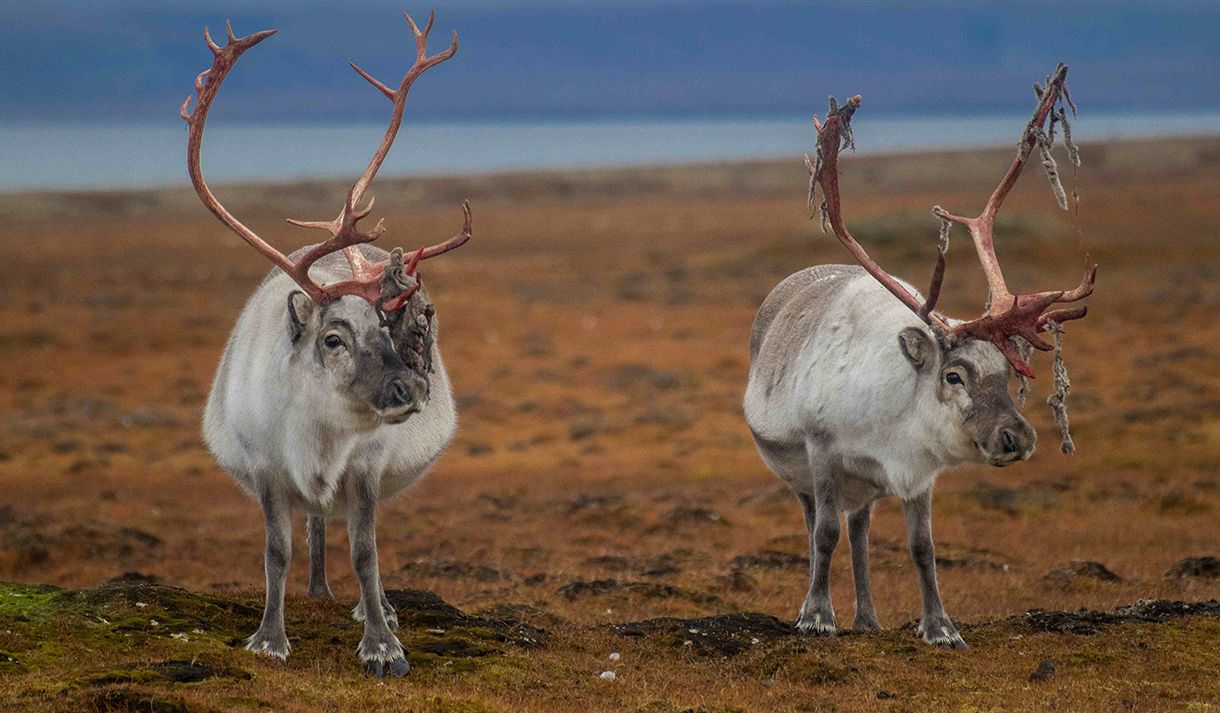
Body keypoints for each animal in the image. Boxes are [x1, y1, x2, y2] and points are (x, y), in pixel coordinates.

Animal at [182, 11, 471, 677]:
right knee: (313, 529)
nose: (411, 387)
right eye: (333, 337)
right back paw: (317, 591)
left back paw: (375, 607)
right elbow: (276, 551)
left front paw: (383, 645)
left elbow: (366, 552)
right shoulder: (265, 468)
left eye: (390, 323)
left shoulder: (366, 469)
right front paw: (269, 638)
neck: (317, 433)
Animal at [744, 64, 1095, 648]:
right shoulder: (822, 451)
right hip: (803, 474)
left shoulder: (919, 472)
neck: (893, 414)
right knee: (820, 524)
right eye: (954, 375)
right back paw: (826, 606)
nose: (1018, 438)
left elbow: (922, 547)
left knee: (860, 532)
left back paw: (867, 618)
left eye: (1009, 372)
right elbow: (824, 534)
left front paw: (940, 627)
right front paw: (816, 616)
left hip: (863, 488)